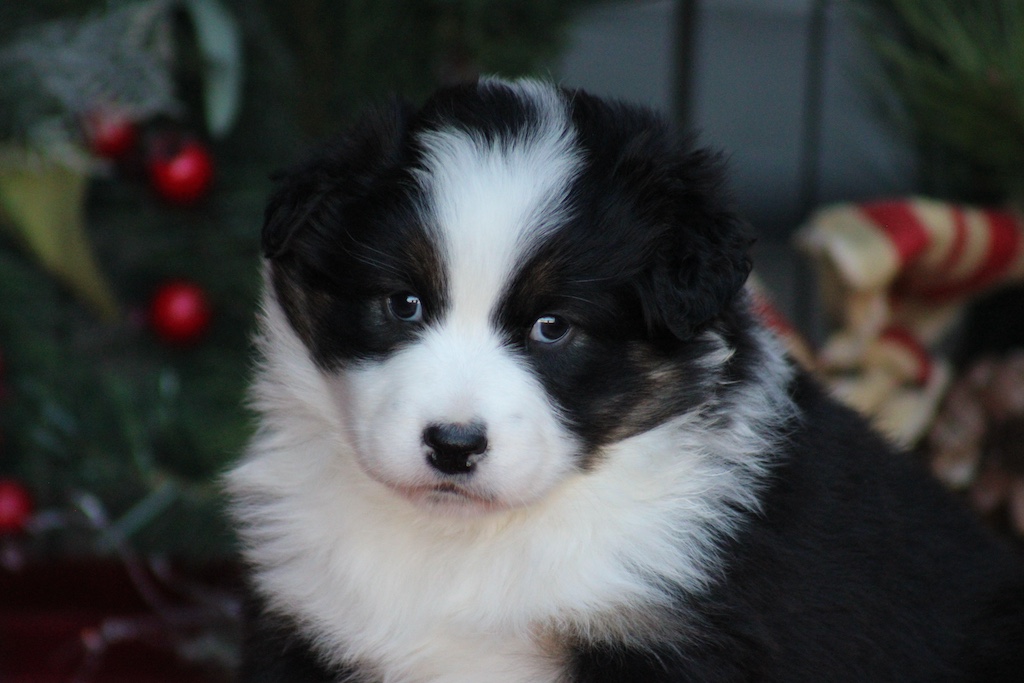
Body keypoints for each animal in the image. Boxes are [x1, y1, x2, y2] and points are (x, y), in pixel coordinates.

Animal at [226, 77, 1024, 682]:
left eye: (553, 327)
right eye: (403, 303)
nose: (453, 445)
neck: (470, 543)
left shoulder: (663, 637)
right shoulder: (308, 623)